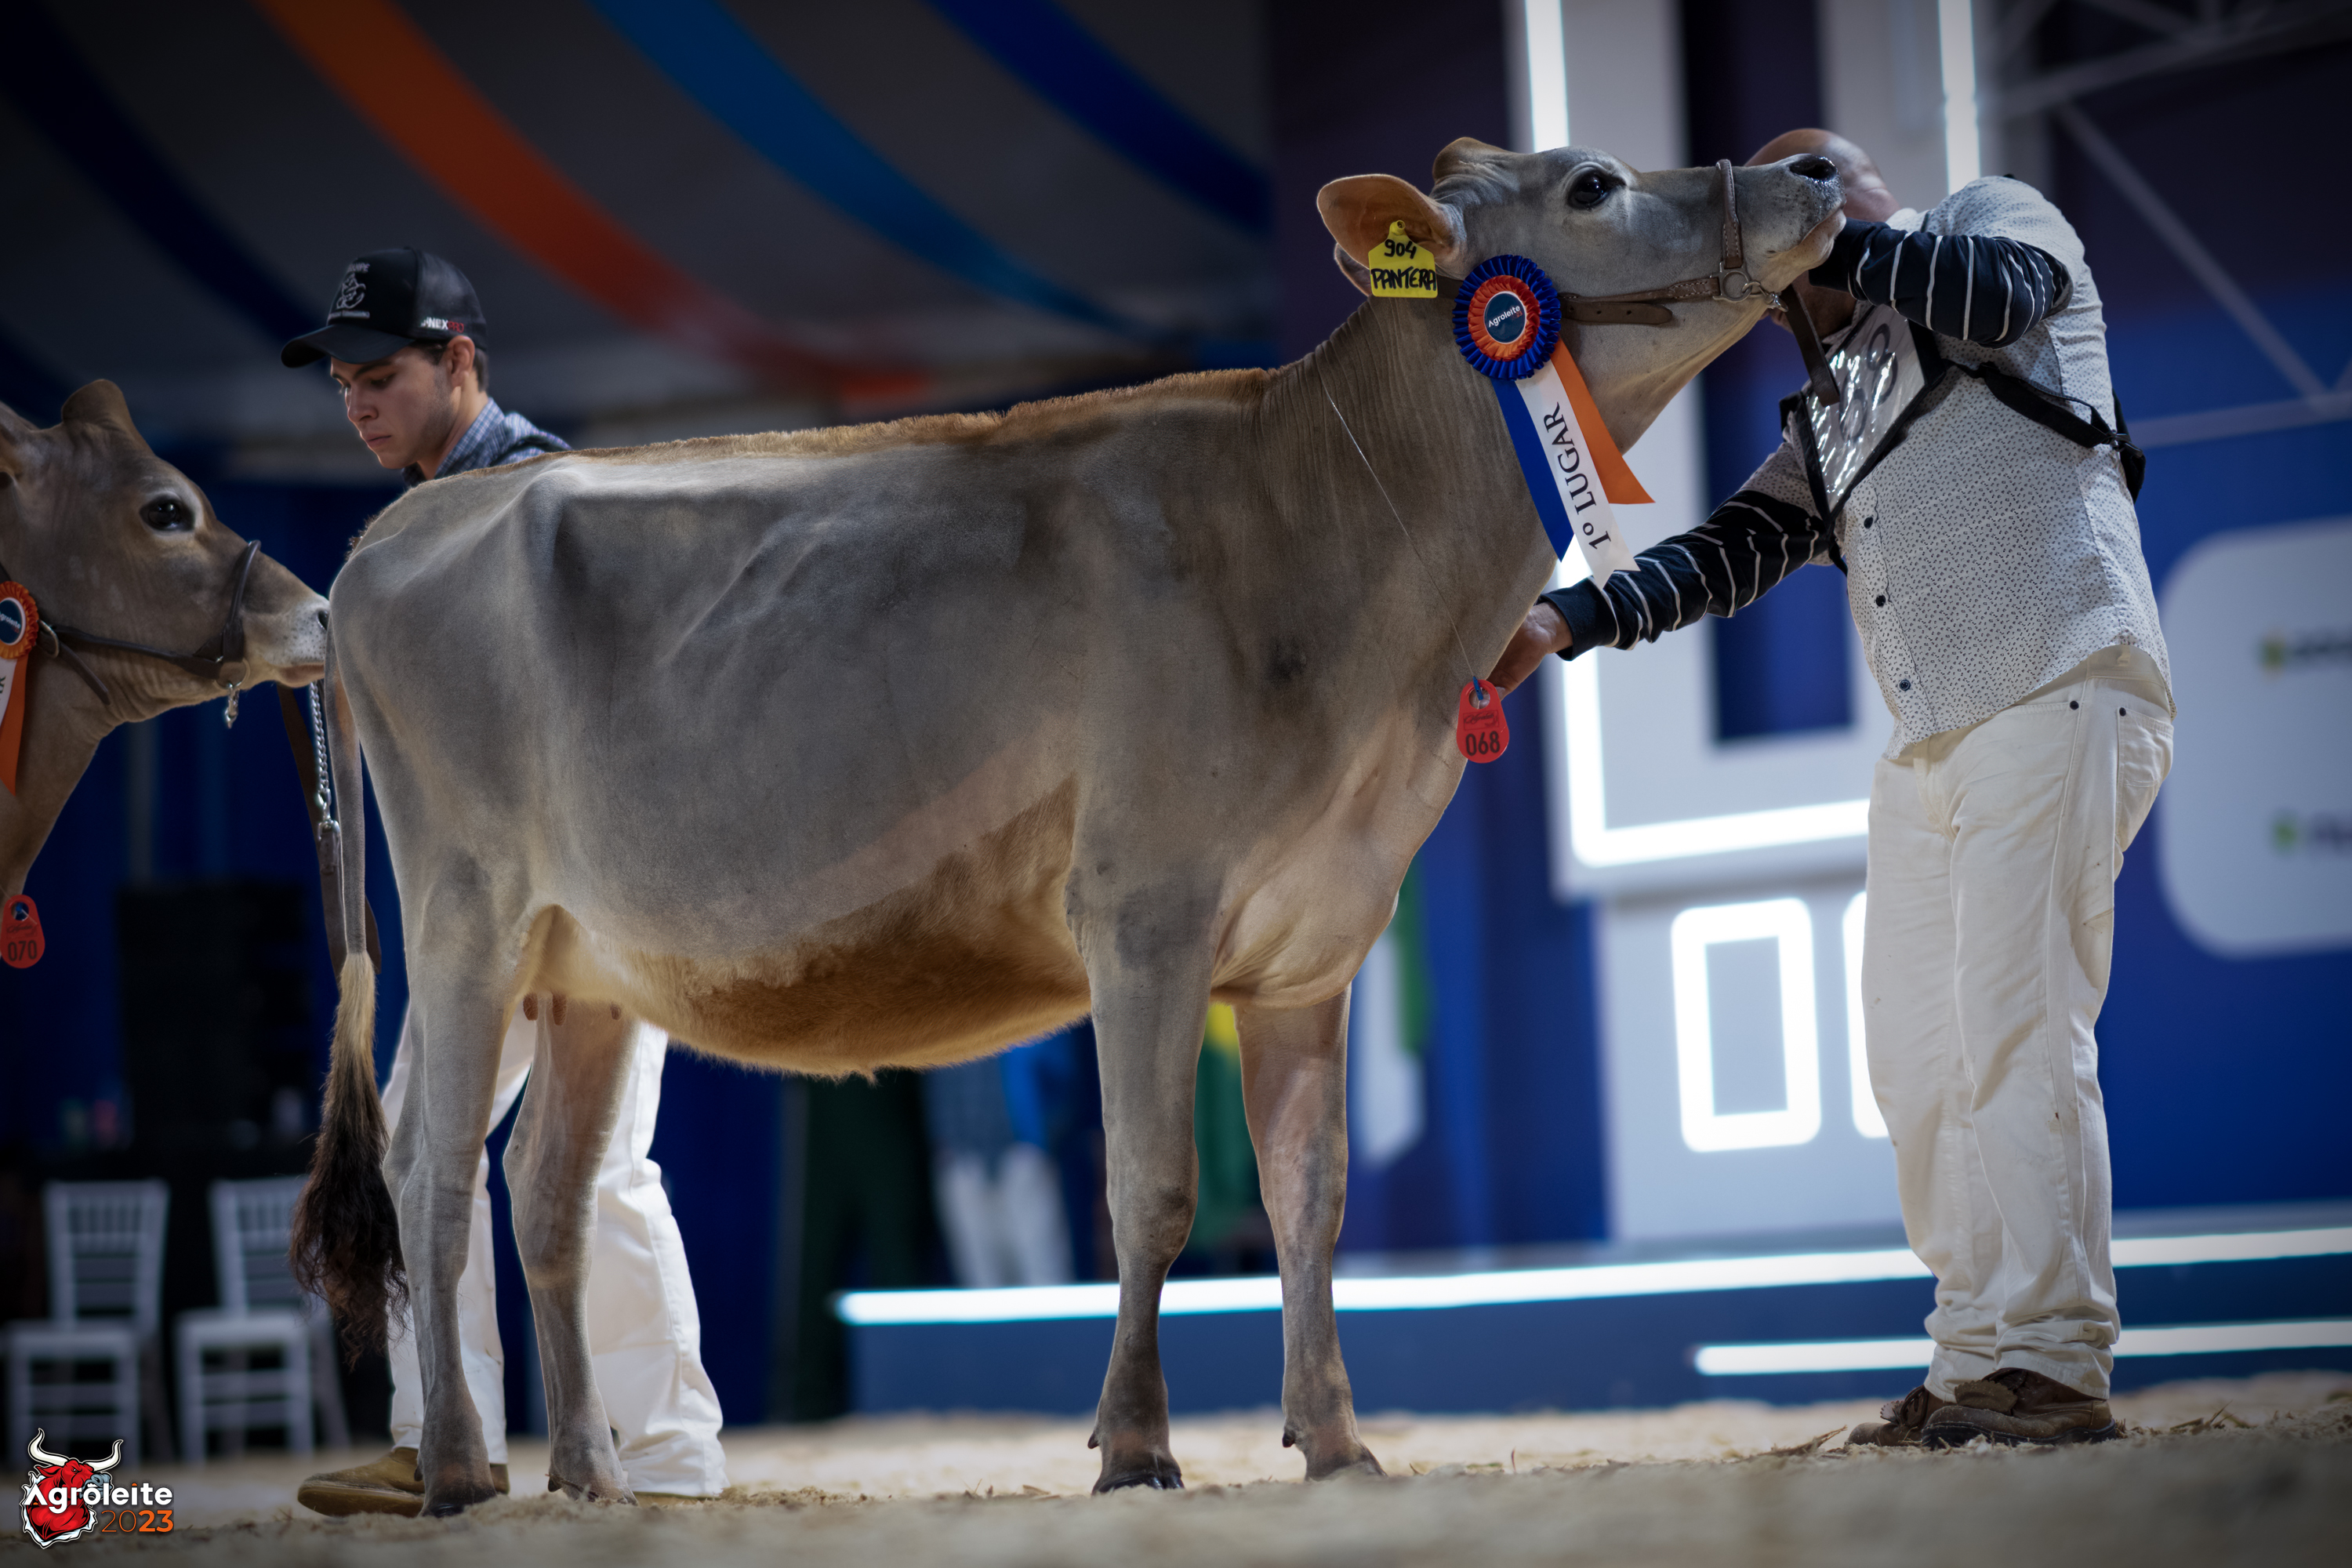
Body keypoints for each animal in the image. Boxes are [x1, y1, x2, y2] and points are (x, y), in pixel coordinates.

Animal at [295, 138, 1843, 1513]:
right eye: (1593, 184)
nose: (1816, 169)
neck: (1340, 548)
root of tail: (393, 536)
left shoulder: (1316, 939)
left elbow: (1312, 1201)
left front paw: (1340, 1446)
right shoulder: (1145, 912)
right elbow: (1152, 1192)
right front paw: (1138, 1450)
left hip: (586, 968)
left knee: (544, 1195)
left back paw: (592, 1477)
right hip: (465, 914)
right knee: (430, 1173)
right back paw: (455, 1471)